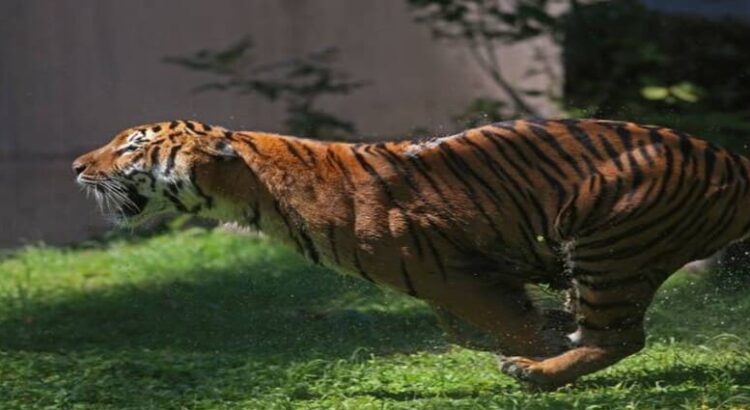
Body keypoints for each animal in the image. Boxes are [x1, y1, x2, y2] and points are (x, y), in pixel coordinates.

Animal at [73, 117, 750, 388]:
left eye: (130, 147)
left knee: (623, 336)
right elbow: (470, 329)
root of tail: (730, 159)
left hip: (608, 240)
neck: (253, 187)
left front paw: (539, 345)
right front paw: (554, 323)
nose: (77, 164)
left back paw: (535, 375)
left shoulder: (448, 272)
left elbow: (504, 324)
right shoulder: (452, 282)